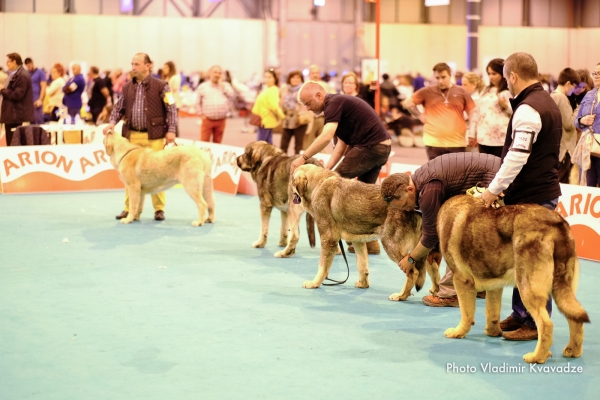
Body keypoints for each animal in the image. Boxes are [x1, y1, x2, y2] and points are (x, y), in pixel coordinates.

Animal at [438, 195, 588, 364]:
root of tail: (558, 224)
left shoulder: (461, 280)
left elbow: (466, 313)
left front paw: (459, 332)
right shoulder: (494, 285)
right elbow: (492, 311)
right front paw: (493, 332)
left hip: (528, 289)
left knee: (546, 324)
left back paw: (537, 357)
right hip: (563, 289)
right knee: (575, 319)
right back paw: (573, 351)